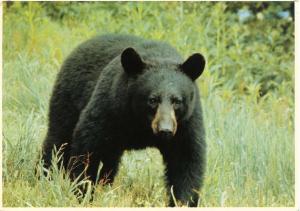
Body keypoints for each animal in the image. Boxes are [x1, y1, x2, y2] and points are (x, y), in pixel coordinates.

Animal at [41, 33, 206, 207]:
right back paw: (45, 176)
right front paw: (83, 192)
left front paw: (182, 202)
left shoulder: (186, 123)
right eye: (152, 100)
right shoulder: (110, 106)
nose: (165, 130)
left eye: (177, 101)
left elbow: (186, 159)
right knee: (59, 140)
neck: (142, 124)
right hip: (69, 98)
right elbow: (88, 146)